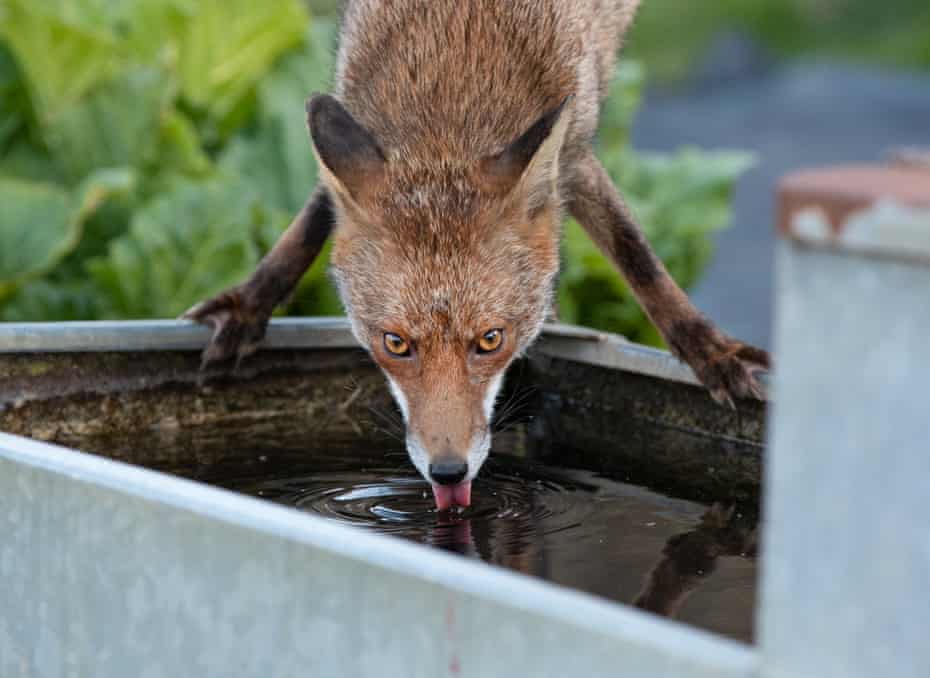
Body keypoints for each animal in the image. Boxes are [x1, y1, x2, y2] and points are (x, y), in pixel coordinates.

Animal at [183, 0, 768, 512]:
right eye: (395, 343)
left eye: (490, 340)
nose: (448, 472)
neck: (452, 73)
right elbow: (311, 220)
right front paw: (247, 307)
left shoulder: (575, 151)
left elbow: (635, 253)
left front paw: (712, 352)